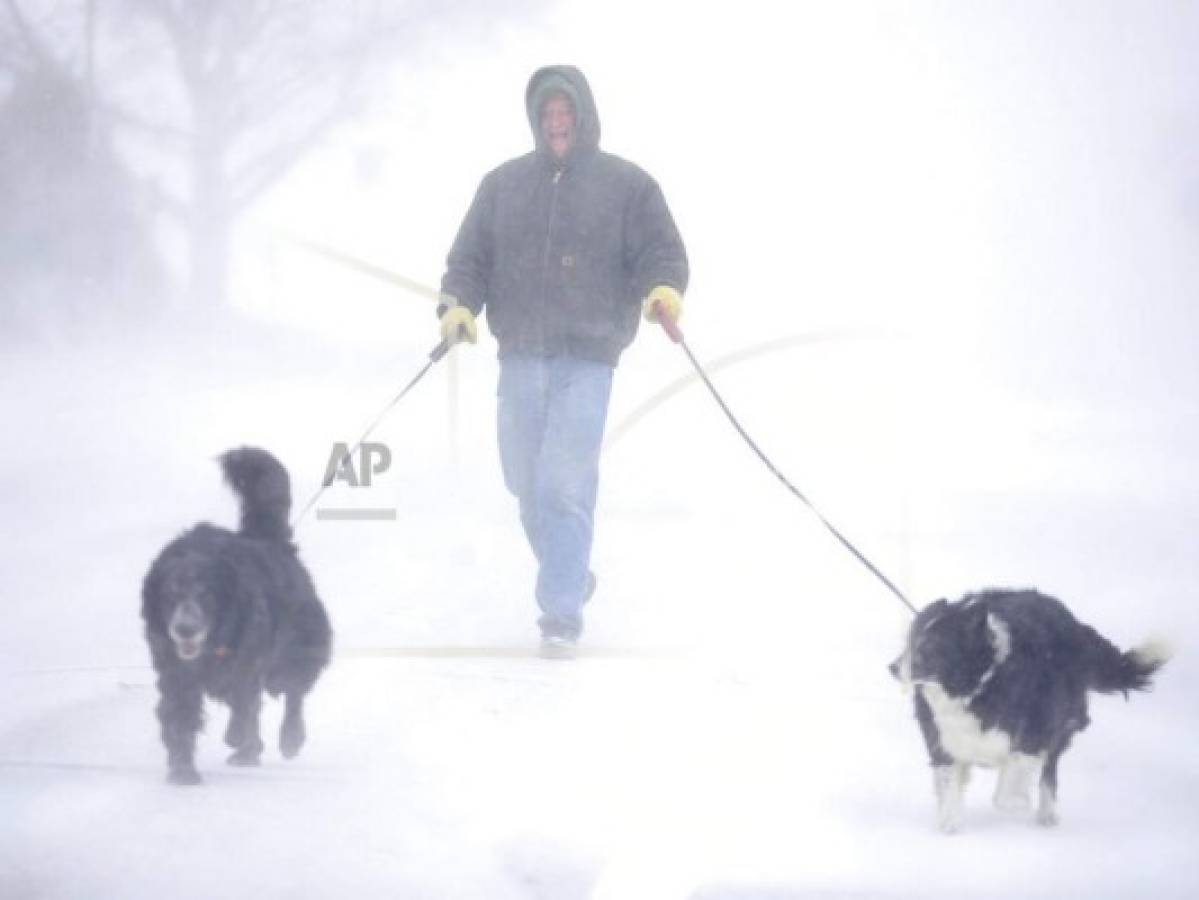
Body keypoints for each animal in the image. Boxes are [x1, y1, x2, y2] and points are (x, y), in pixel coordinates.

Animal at [141, 448, 333, 786]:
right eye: (169, 597)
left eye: (206, 595)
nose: (184, 629)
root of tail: (270, 540)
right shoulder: (174, 667)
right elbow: (179, 712)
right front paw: (182, 770)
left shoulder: (247, 658)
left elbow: (246, 703)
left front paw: (238, 738)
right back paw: (249, 750)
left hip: (296, 645)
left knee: (292, 690)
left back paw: (288, 739)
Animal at [896, 587, 1165, 834]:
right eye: (910, 643)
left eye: (929, 648)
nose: (893, 668)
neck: (978, 685)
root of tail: (1074, 623)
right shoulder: (943, 737)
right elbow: (949, 777)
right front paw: (949, 824)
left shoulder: (1036, 731)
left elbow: (1010, 781)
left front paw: (1017, 803)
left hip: (1063, 723)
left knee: (1049, 771)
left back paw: (1046, 815)